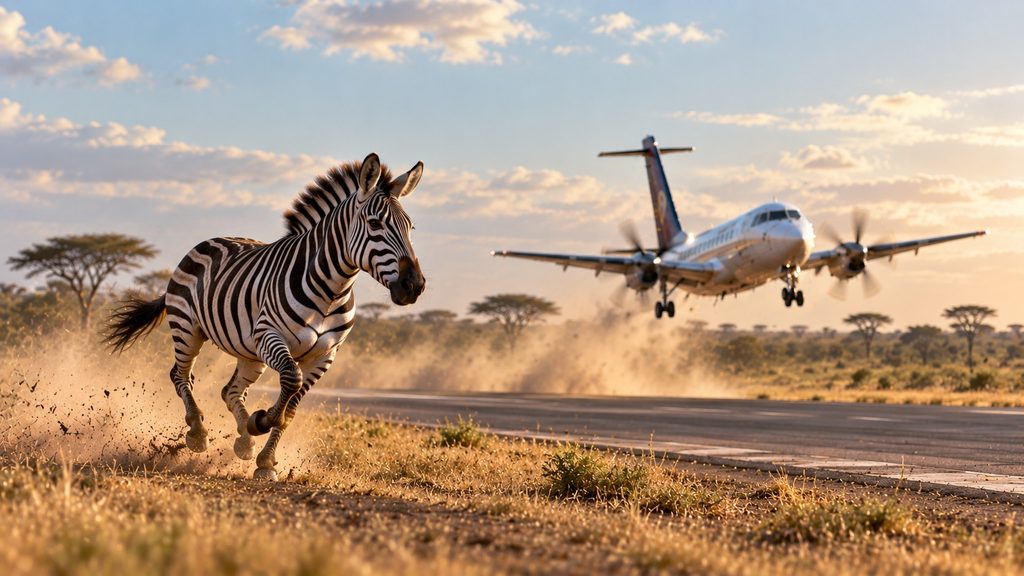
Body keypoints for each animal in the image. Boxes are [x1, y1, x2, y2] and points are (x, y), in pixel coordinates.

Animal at [105, 153, 425, 480]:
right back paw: (197, 433)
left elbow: (291, 409)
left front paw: (265, 458)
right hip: (187, 328)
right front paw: (262, 421)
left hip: (249, 354)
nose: (414, 286)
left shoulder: (324, 356)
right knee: (180, 375)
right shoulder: (269, 335)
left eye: (411, 228)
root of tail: (213, 239)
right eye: (374, 224)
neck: (332, 291)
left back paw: (245, 441)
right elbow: (291, 380)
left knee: (230, 391)